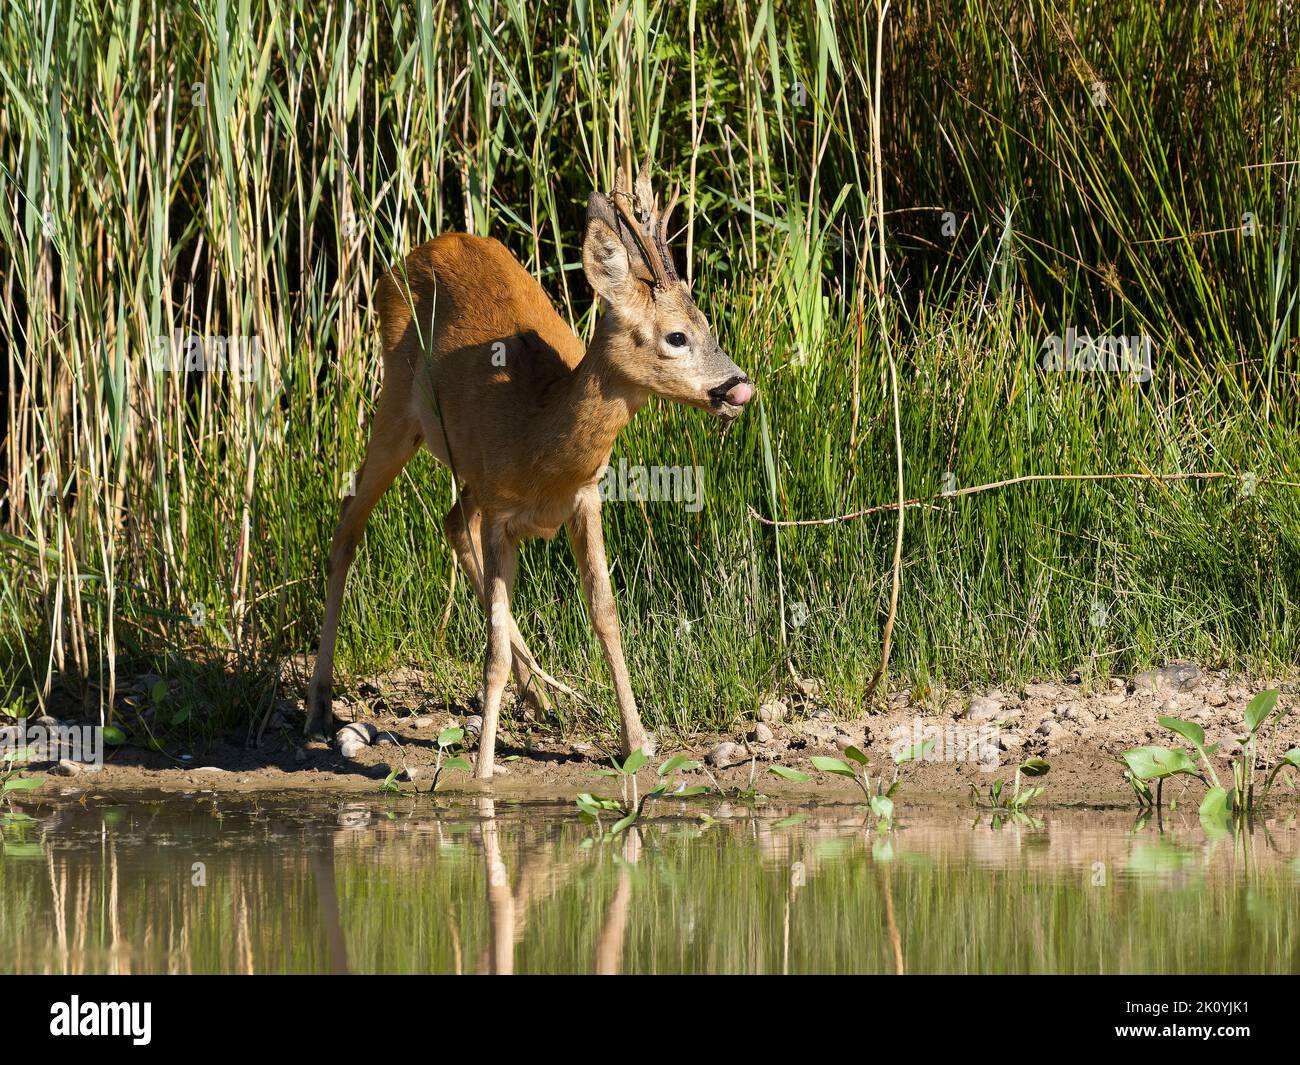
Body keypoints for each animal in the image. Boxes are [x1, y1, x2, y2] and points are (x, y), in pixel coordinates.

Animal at [302, 154, 754, 780]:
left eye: (708, 323)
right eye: (677, 336)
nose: (738, 386)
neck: (539, 439)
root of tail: (413, 253)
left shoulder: (585, 498)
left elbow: (605, 613)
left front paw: (636, 742)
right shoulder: (501, 511)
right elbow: (491, 645)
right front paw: (485, 770)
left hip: (466, 466)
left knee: (450, 521)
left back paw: (538, 694)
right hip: (395, 405)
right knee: (349, 522)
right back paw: (320, 707)